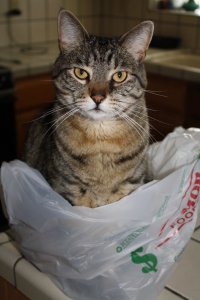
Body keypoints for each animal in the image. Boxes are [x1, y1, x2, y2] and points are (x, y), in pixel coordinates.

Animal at [24, 8, 154, 206]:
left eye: (120, 76)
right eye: (80, 72)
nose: (98, 97)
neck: (101, 141)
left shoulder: (131, 186)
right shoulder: (67, 192)